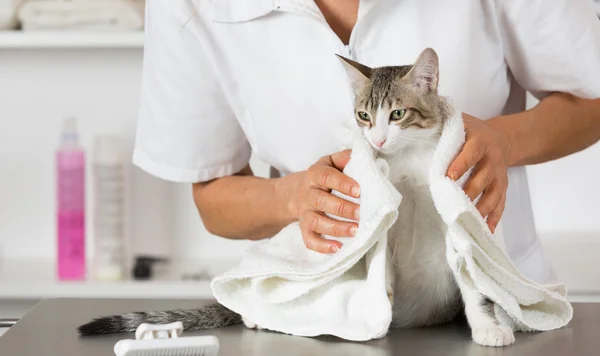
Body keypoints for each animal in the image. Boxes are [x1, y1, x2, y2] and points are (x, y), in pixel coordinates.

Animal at [76, 47, 516, 348]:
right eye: (363, 116)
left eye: (397, 114)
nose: (376, 140)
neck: (407, 163)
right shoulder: (379, 215)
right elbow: (382, 263)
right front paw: (377, 308)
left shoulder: (455, 207)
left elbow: (472, 276)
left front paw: (488, 325)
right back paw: (261, 314)